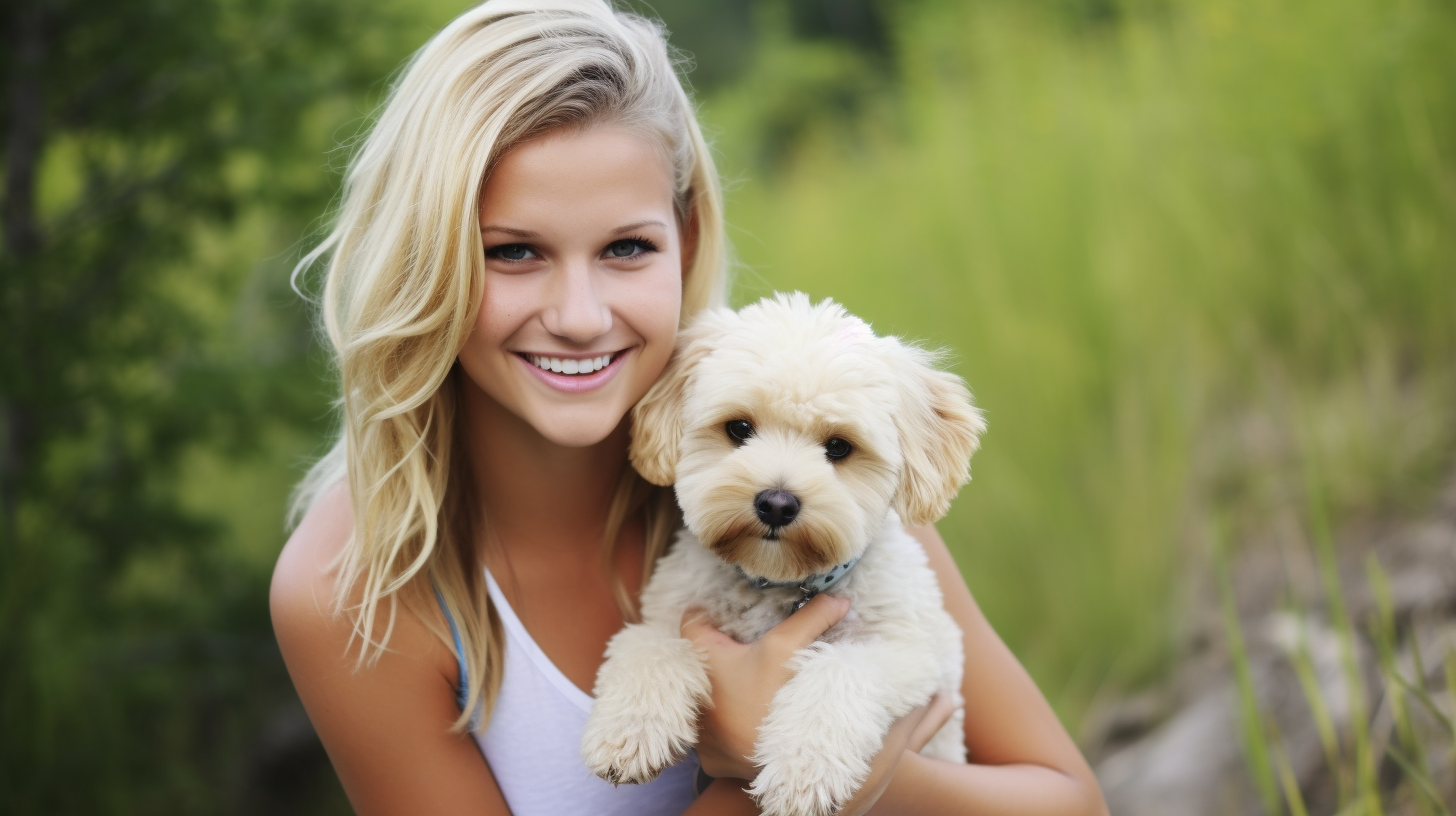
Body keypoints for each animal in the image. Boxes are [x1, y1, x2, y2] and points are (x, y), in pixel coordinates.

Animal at [585, 292, 984, 816]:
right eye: (738, 428)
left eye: (839, 447)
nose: (776, 503)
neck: (776, 583)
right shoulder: (668, 616)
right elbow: (649, 646)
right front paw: (630, 732)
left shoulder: (909, 654)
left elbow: (838, 671)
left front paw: (804, 771)